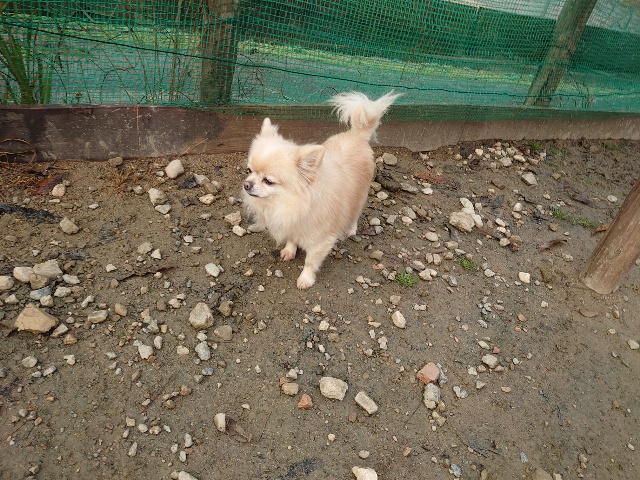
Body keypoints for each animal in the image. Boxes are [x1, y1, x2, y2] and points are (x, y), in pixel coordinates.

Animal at [242, 91, 401, 289]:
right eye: (249, 171)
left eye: (268, 181)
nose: (247, 184)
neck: (288, 204)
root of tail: (357, 134)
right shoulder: (293, 225)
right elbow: (292, 240)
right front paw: (289, 251)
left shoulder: (320, 241)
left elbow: (310, 262)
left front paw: (305, 279)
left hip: (360, 195)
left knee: (355, 213)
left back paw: (350, 229)